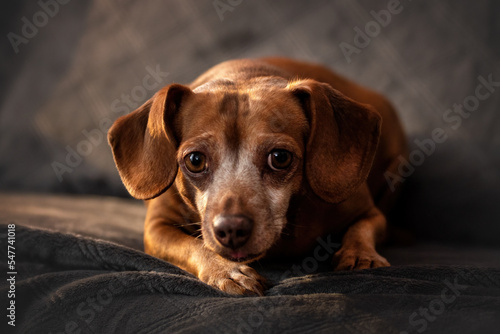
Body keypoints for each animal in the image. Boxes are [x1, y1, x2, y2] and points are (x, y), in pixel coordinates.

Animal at [108, 56, 406, 294]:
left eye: (280, 158)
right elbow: (193, 246)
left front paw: (360, 255)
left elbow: (362, 229)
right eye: (195, 160)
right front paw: (226, 271)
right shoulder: (156, 228)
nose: (231, 230)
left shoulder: (370, 213)